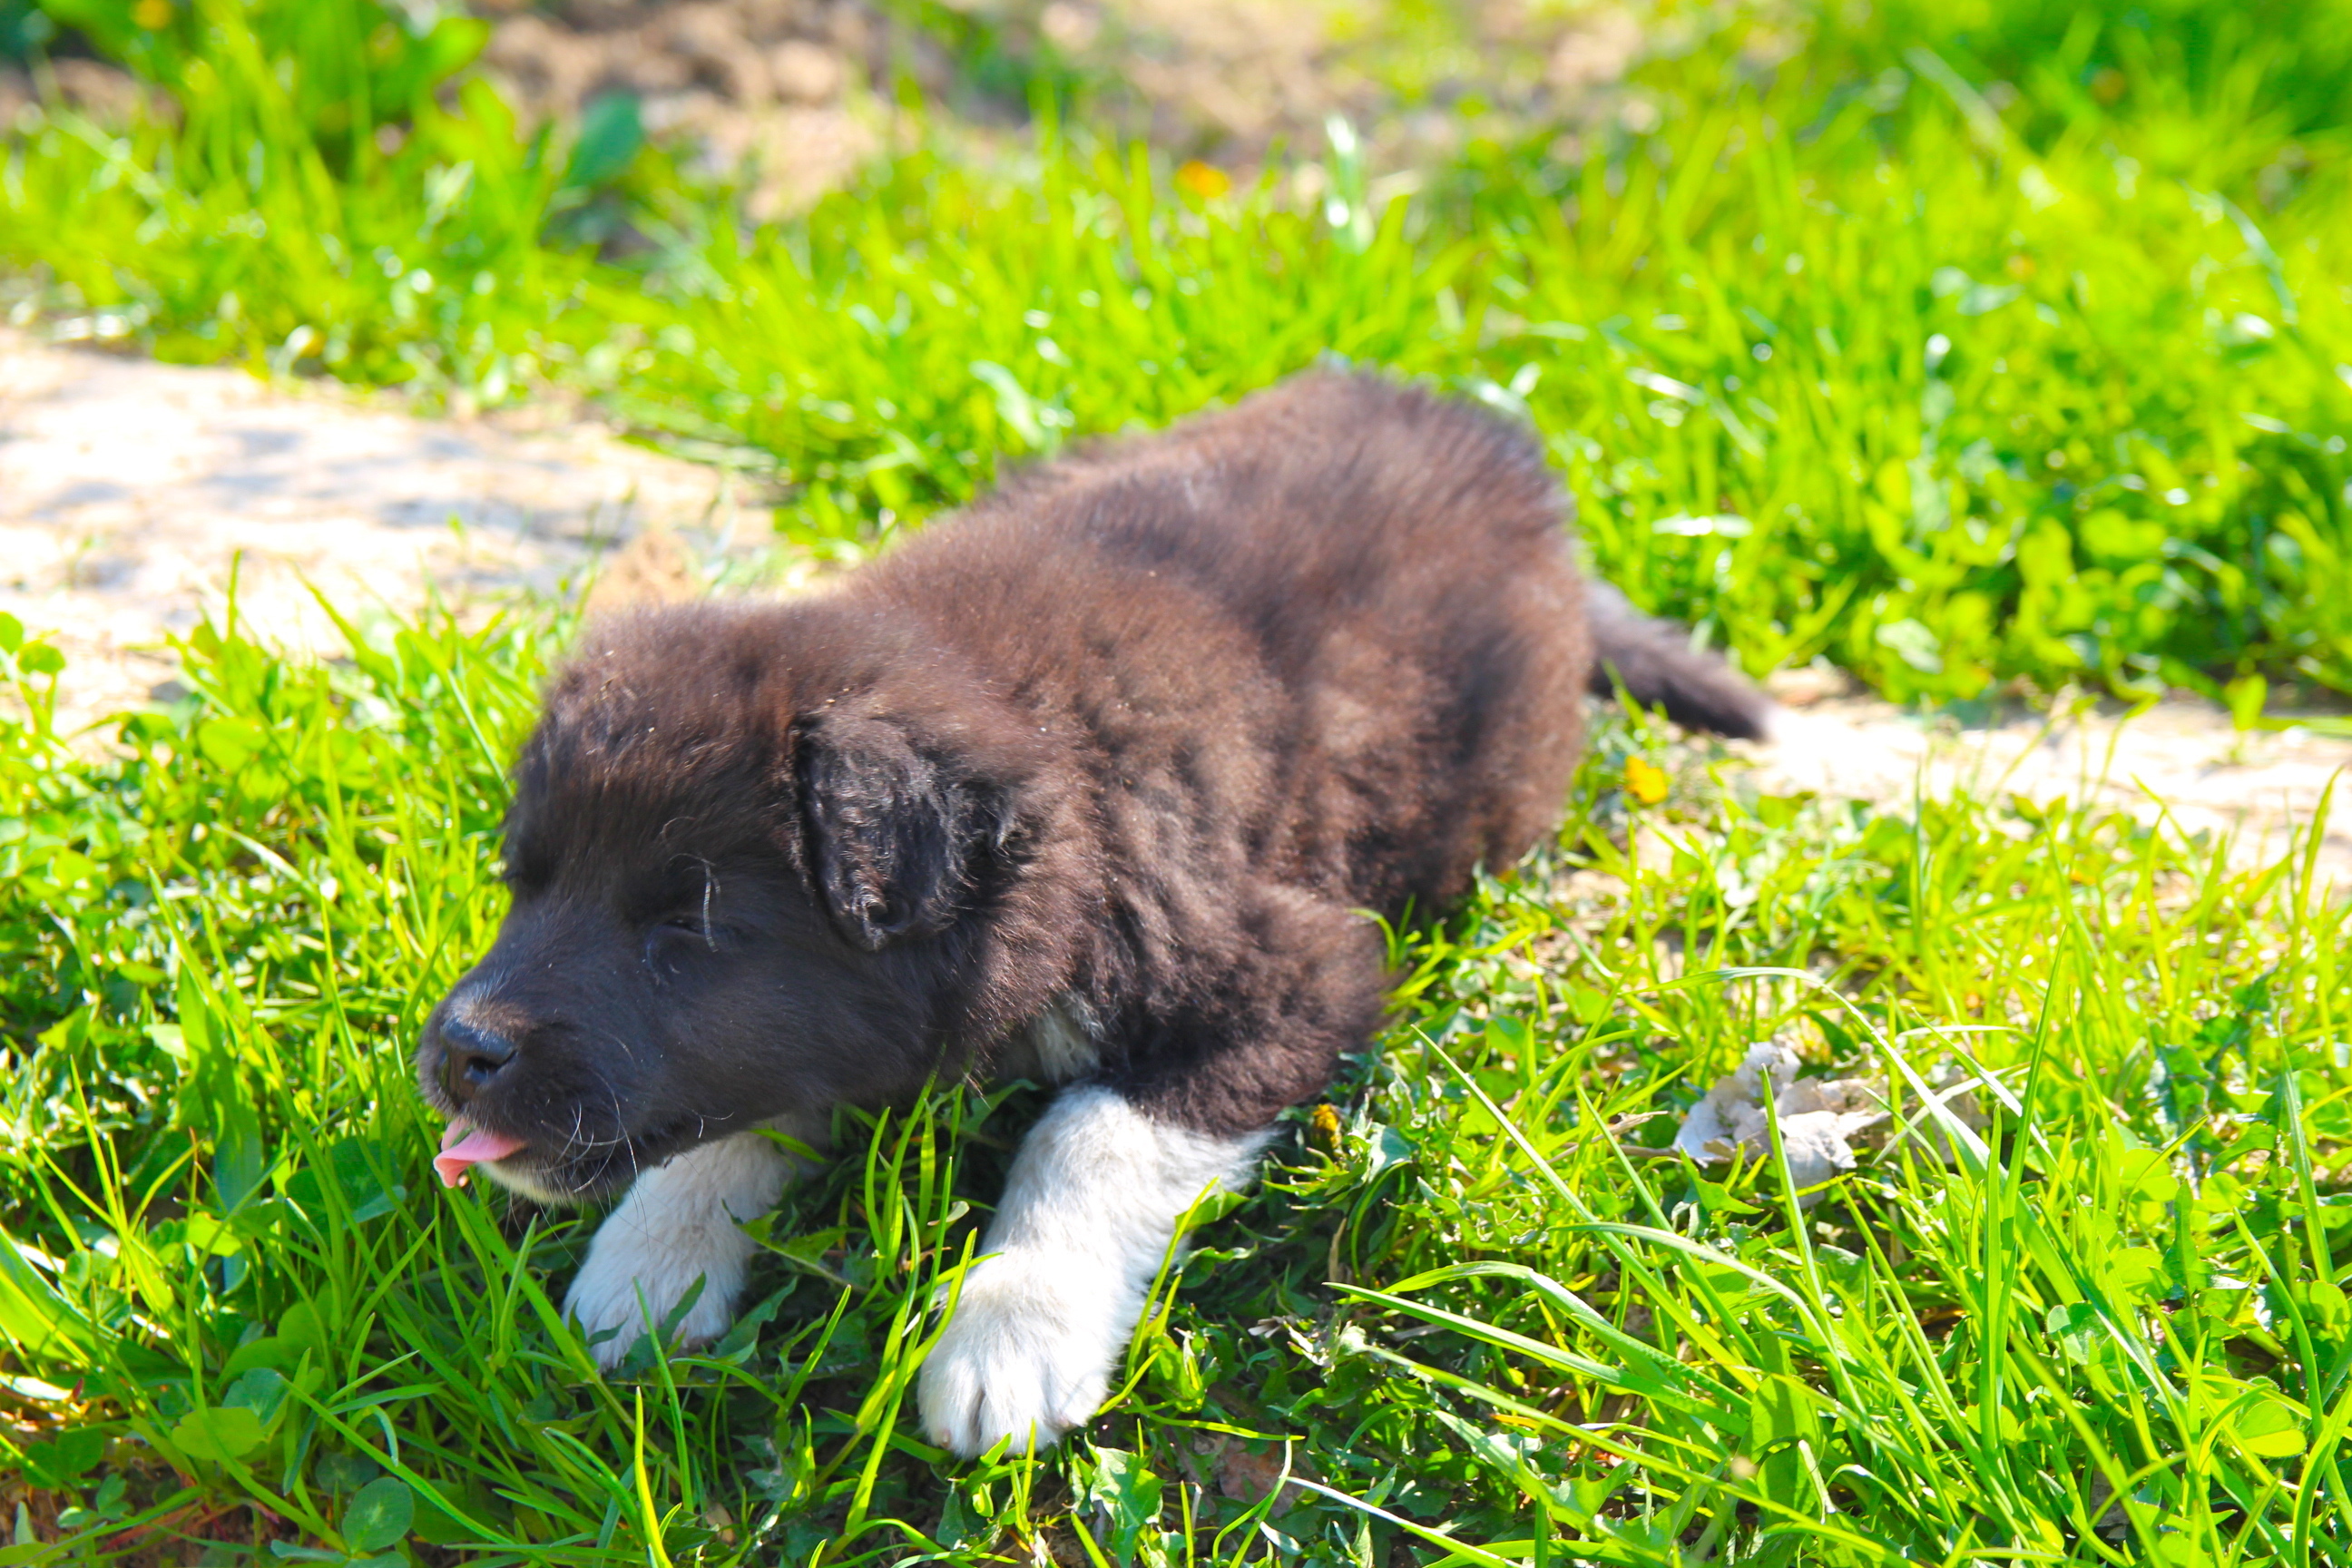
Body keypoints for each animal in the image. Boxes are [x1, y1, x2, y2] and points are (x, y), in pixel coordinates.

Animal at [414, 368, 1769, 1457]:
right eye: (526, 882)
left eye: (686, 930)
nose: (457, 1055)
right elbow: (740, 1110)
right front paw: (651, 1261)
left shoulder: (1295, 971)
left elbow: (1089, 1131)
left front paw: (1009, 1335)